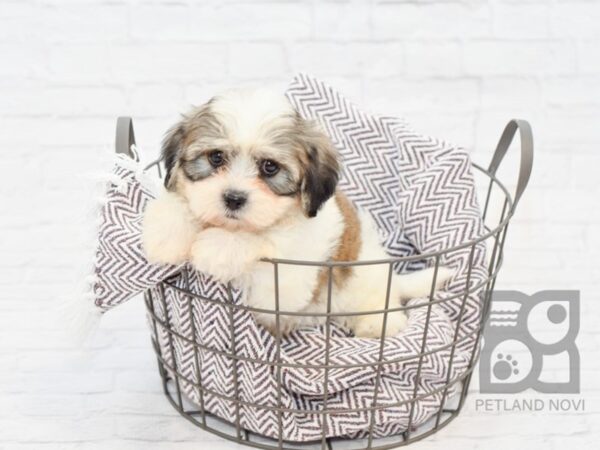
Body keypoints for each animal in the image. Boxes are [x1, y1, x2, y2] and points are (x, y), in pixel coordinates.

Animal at [142, 89, 450, 338]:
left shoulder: (288, 283)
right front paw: (166, 230)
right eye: (216, 157)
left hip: (366, 284)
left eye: (270, 167)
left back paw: (377, 324)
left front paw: (217, 246)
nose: (233, 198)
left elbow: (261, 247)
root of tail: (390, 277)